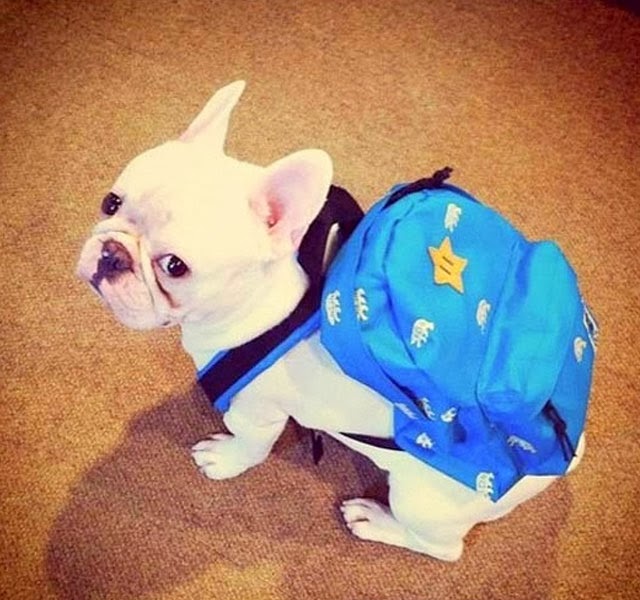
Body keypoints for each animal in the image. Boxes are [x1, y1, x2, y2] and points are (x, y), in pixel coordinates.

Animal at [76, 81, 586, 561]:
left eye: (175, 266)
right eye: (109, 203)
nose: (111, 253)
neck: (265, 308)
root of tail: (569, 452)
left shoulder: (258, 414)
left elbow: (250, 445)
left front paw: (225, 458)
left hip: (423, 501)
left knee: (441, 548)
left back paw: (377, 521)